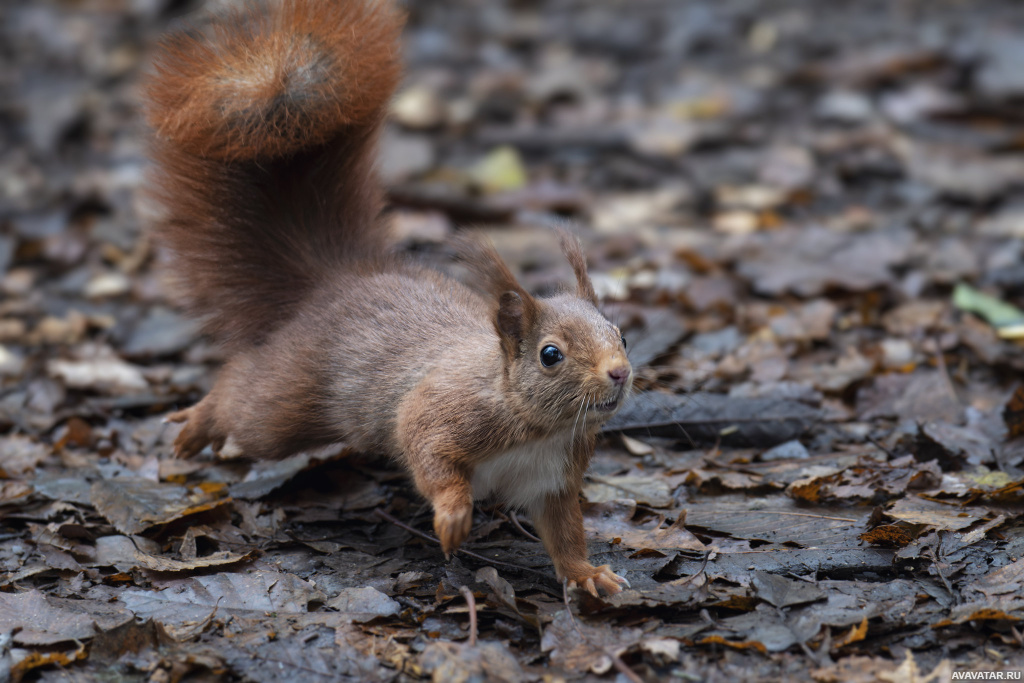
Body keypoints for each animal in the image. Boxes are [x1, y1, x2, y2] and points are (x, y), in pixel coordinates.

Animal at [144, 0, 630, 593]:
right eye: (550, 355)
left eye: (622, 334)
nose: (619, 372)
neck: (540, 428)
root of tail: (337, 282)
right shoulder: (440, 410)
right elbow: (428, 453)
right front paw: (453, 516)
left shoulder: (554, 477)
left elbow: (564, 532)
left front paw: (587, 575)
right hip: (285, 402)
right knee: (243, 396)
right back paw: (195, 424)